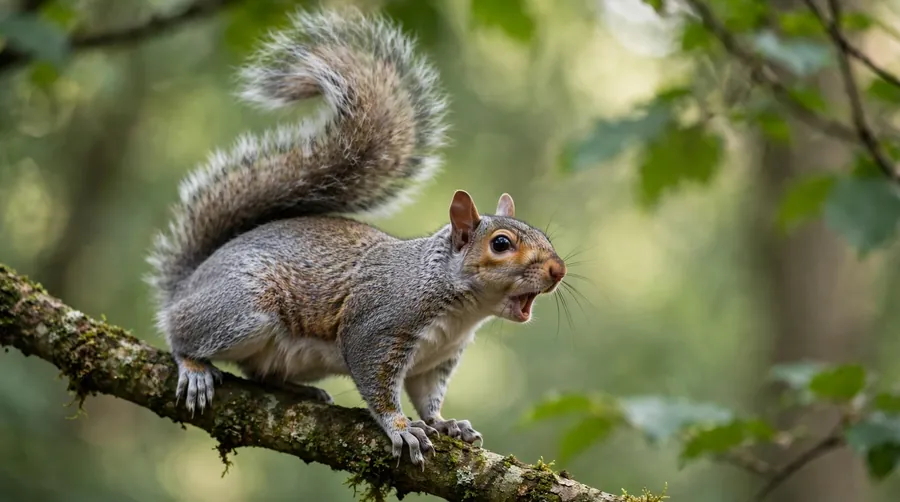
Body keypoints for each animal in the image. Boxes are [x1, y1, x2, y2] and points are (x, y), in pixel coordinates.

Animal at [146, 7, 567, 467]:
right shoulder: (378, 326)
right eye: (501, 244)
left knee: (259, 372)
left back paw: (298, 388)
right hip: (241, 309)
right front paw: (400, 428)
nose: (558, 270)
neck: (459, 307)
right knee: (181, 331)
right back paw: (193, 366)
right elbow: (377, 383)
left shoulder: (435, 361)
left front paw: (446, 424)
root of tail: (189, 283)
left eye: (544, 236)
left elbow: (427, 398)